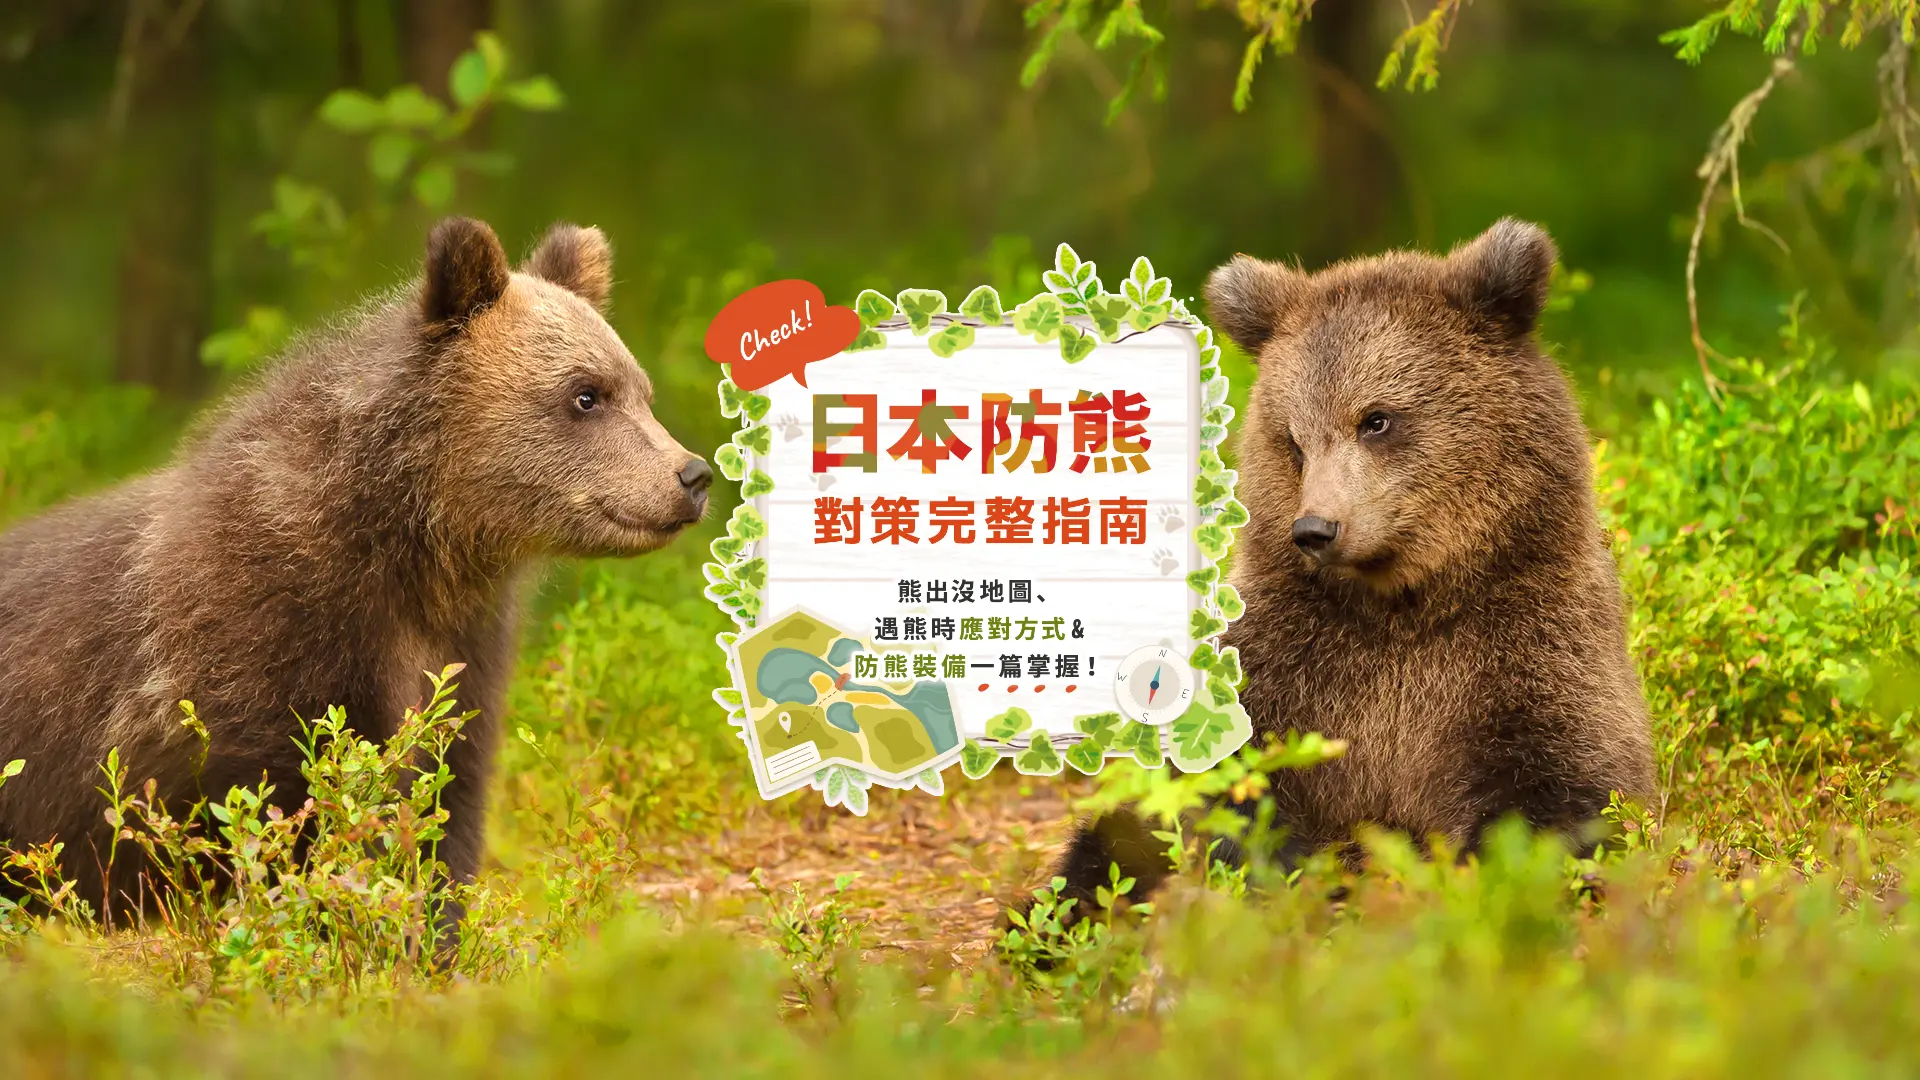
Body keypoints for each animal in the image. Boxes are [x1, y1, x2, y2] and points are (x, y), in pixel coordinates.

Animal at [0, 216, 712, 919]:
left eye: (642, 392)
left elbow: (448, 796)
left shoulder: (464, 651)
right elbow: (285, 803)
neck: (412, 548)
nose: (693, 475)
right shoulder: (267, 638)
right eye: (586, 394)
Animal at [1037, 218, 1654, 918]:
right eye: (1294, 439)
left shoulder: (1528, 645)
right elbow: (1218, 786)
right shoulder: (1291, 658)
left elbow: (1567, 784)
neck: (1403, 603)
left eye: (1376, 419)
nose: (1316, 528)